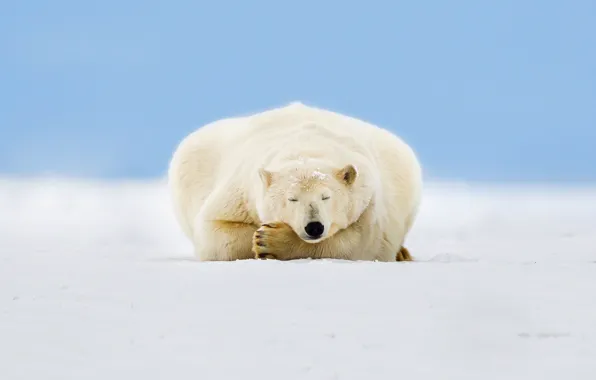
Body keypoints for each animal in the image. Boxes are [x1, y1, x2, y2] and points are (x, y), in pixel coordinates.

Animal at [165, 101, 422, 262]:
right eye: (292, 198)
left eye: (326, 196)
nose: (314, 226)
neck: (307, 146)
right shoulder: (240, 192)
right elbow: (215, 231)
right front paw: (260, 237)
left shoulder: (369, 199)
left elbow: (362, 243)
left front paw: (271, 241)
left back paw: (403, 254)